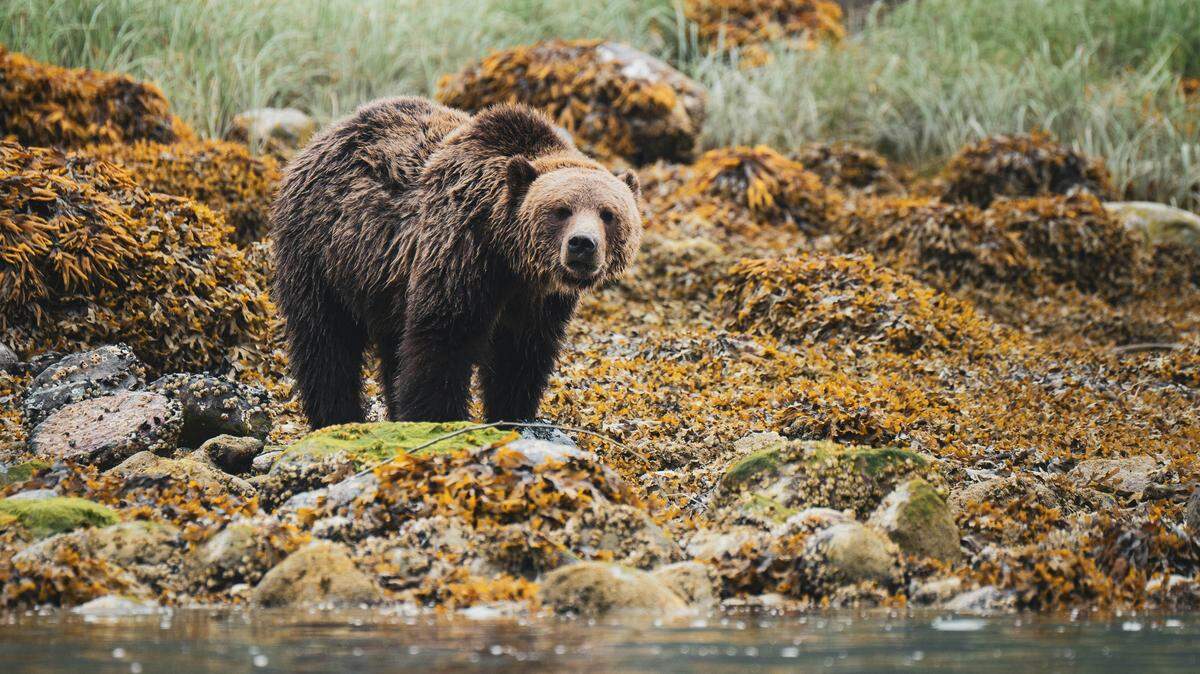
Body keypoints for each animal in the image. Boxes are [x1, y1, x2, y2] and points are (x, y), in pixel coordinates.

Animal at [271, 97, 642, 429]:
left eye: (608, 213)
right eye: (561, 210)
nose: (582, 244)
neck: (512, 260)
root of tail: (317, 140)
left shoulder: (538, 301)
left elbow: (520, 357)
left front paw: (513, 414)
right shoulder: (460, 251)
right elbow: (442, 342)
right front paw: (437, 418)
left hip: (383, 283)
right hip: (323, 254)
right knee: (325, 342)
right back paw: (336, 418)